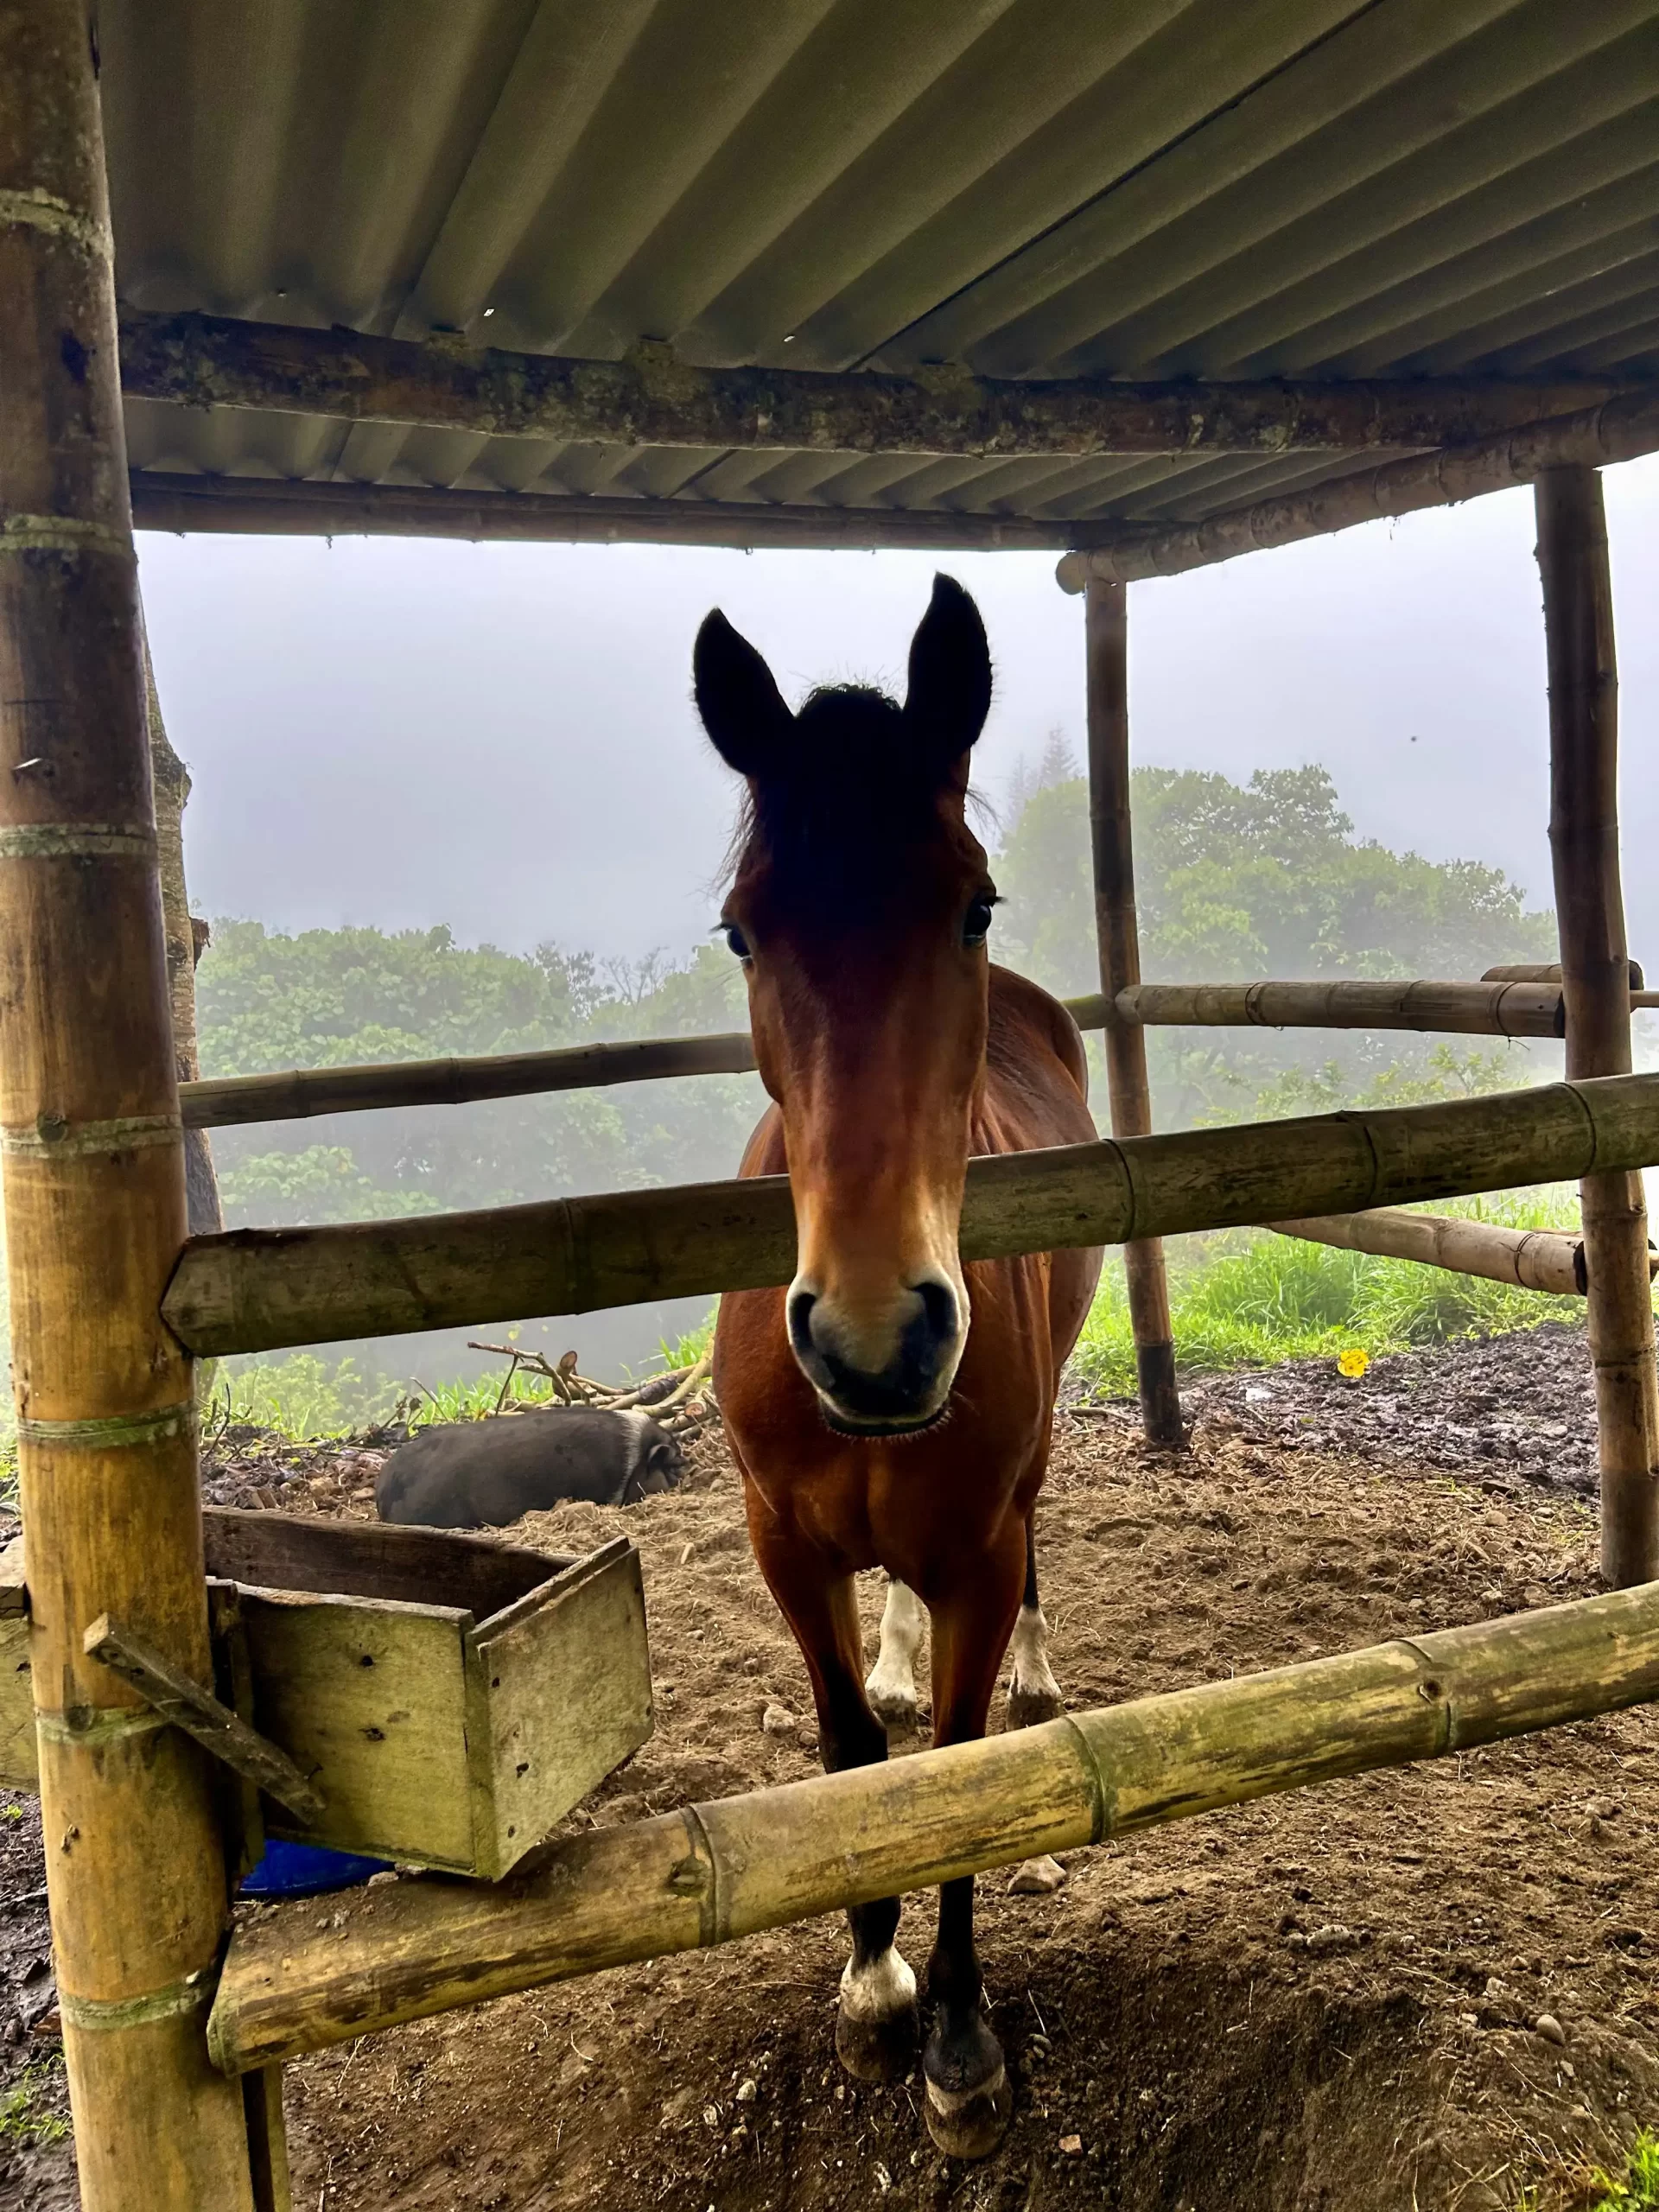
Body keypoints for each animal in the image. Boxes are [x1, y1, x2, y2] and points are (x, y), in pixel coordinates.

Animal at [693, 574, 1104, 2159]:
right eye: (743, 933)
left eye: (971, 904)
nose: (877, 1337)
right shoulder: (782, 1547)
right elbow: (849, 1749)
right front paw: (874, 1988)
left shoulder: (976, 1554)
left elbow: (966, 1780)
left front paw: (962, 2044)